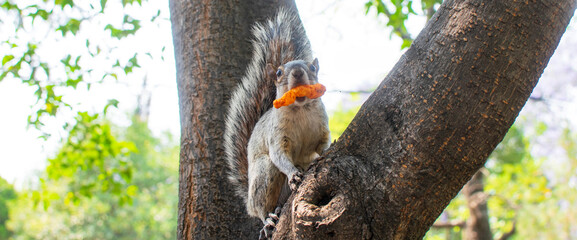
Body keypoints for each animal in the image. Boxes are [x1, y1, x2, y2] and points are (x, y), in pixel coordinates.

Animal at [226, 8, 332, 239]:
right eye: (278, 73)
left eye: (312, 67)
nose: (298, 73)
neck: (301, 110)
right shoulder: (277, 136)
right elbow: (279, 155)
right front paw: (293, 173)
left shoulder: (321, 128)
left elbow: (322, 145)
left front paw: (327, 151)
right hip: (264, 174)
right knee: (261, 207)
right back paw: (268, 220)